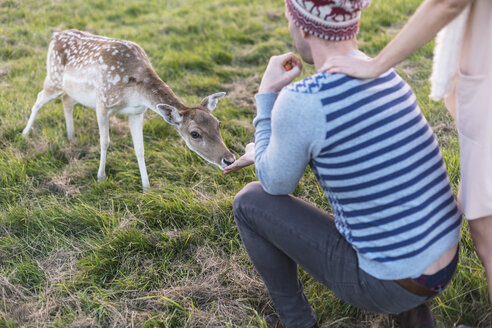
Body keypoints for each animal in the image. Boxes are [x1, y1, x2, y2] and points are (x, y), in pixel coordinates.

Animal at [22, 30, 236, 192]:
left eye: (218, 124)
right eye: (195, 134)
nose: (229, 159)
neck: (134, 92)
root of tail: (55, 35)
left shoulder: (137, 112)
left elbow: (140, 149)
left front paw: (147, 187)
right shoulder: (102, 103)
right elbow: (105, 142)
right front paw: (101, 176)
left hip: (71, 90)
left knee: (66, 100)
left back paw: (71, 136)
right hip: (53, 77)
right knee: (38, 99)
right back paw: (24, 133)